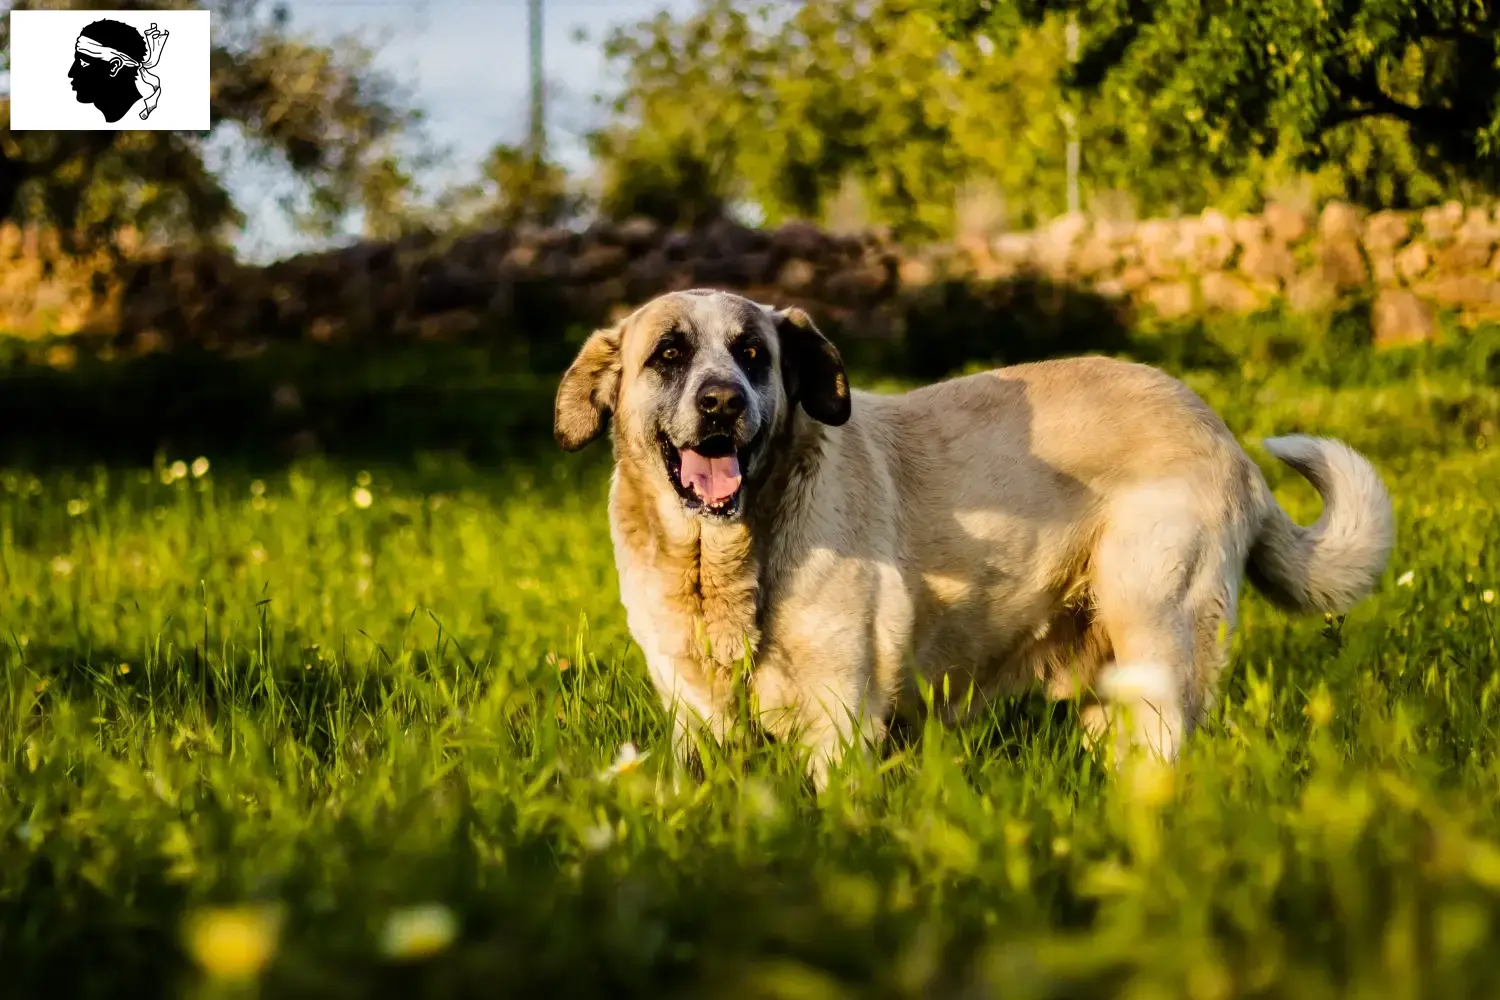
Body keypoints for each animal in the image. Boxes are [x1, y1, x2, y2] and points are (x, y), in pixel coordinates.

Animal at [555, 289, 1392, 791]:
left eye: (754, 355)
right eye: (668, 355)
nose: (723, 401)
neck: (725, 563)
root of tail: (1224, 438)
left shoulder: (839, 717)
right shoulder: (695, 717)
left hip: (1158, 627)